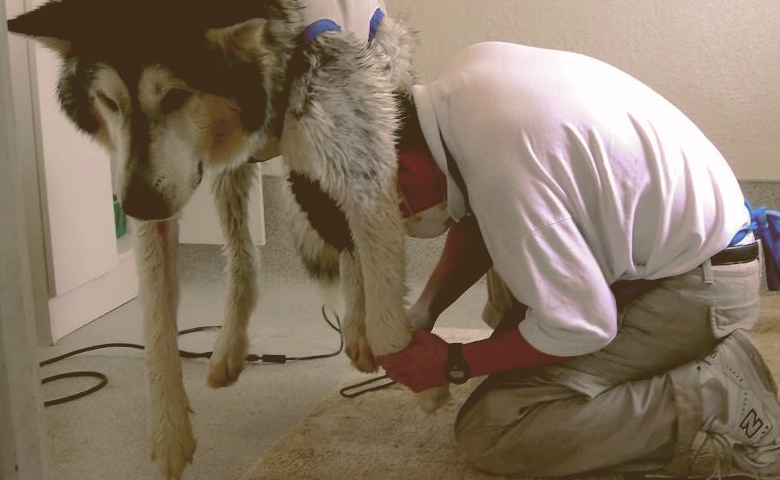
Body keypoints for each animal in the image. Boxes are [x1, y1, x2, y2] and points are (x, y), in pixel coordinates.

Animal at [9, 1, 450, 478]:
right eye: (109, 102)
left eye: (174, 96)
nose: (137, 206)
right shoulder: (152, 195)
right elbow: (157, 328)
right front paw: (169, 435)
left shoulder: (365, 169)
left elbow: (387, 315)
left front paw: (421, 378)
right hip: (230, 176)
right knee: (244, 262)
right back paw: (229, 347)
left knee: (349, 245)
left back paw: (355, 329)